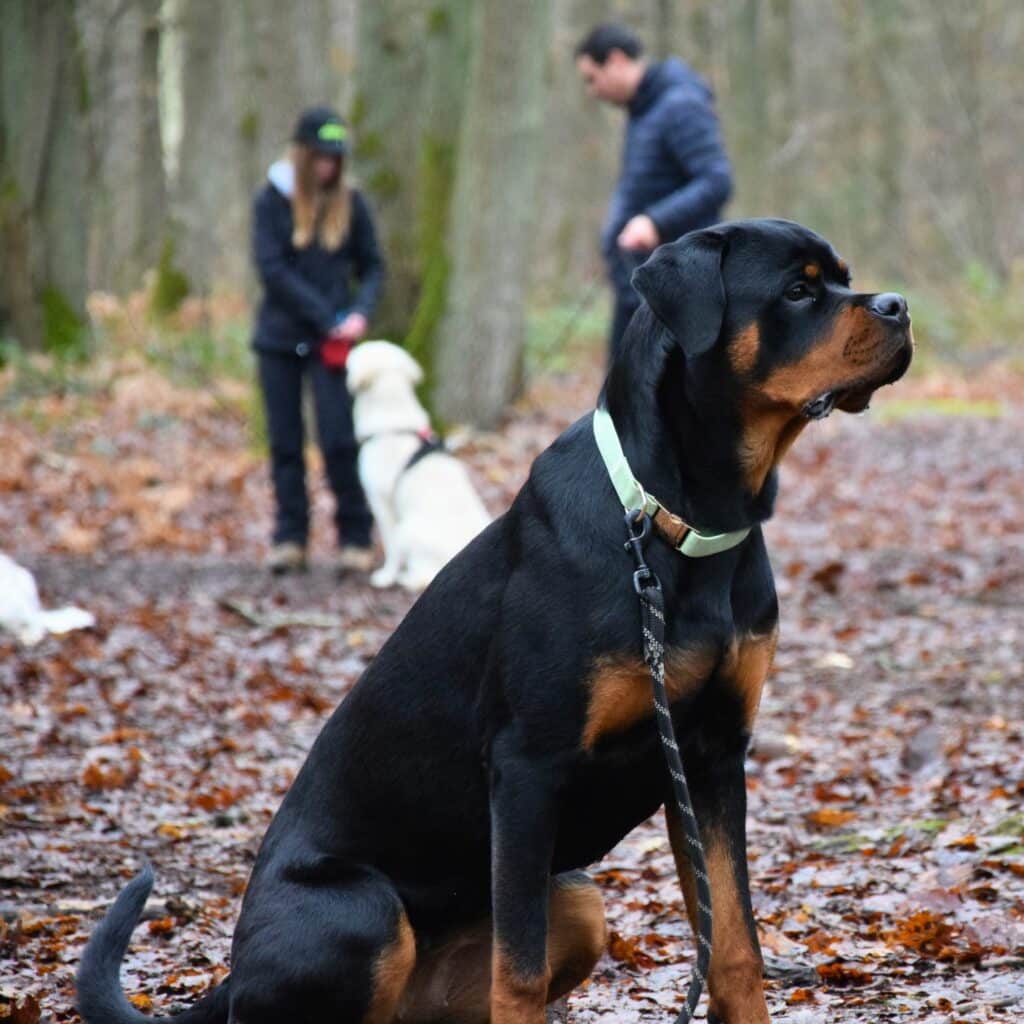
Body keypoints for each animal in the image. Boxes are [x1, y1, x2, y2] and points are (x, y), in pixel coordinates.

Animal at [346, 339, 489, 589]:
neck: (392, 421)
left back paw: (405, 577)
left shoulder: (381, 502)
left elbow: (391, 548)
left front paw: (386, 576)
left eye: (352, 358)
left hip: (408, 529)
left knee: (423, 576)